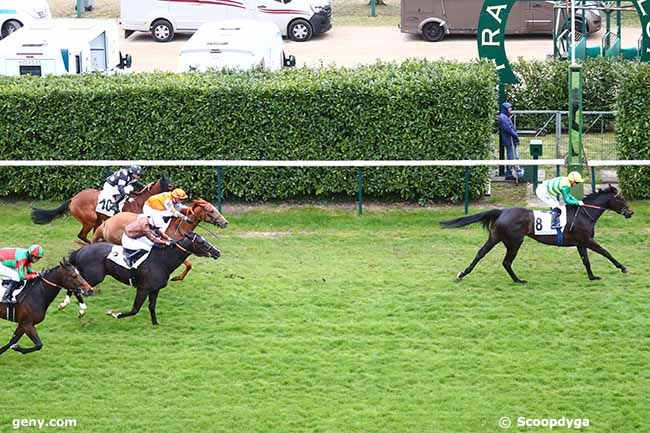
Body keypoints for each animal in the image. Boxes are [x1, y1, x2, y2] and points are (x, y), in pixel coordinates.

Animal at [30, 176, 172, 243]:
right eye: (170, 185)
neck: (138, 201)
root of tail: (73, 199)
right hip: (90, 219)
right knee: (82, 235)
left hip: (98, 220)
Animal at [440, 186, 632, 284]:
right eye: (621, 199)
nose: (631, 212)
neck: (584, 214)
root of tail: (502, 211)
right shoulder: (587, 239)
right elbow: (606, 252)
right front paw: (622, 267)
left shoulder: (581, 242)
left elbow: (586, 260)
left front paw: (592, 277)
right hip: (515, 242)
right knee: (506, 262)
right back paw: (518, 280)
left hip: (495, 237)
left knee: (480, 253)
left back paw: (462, 274)